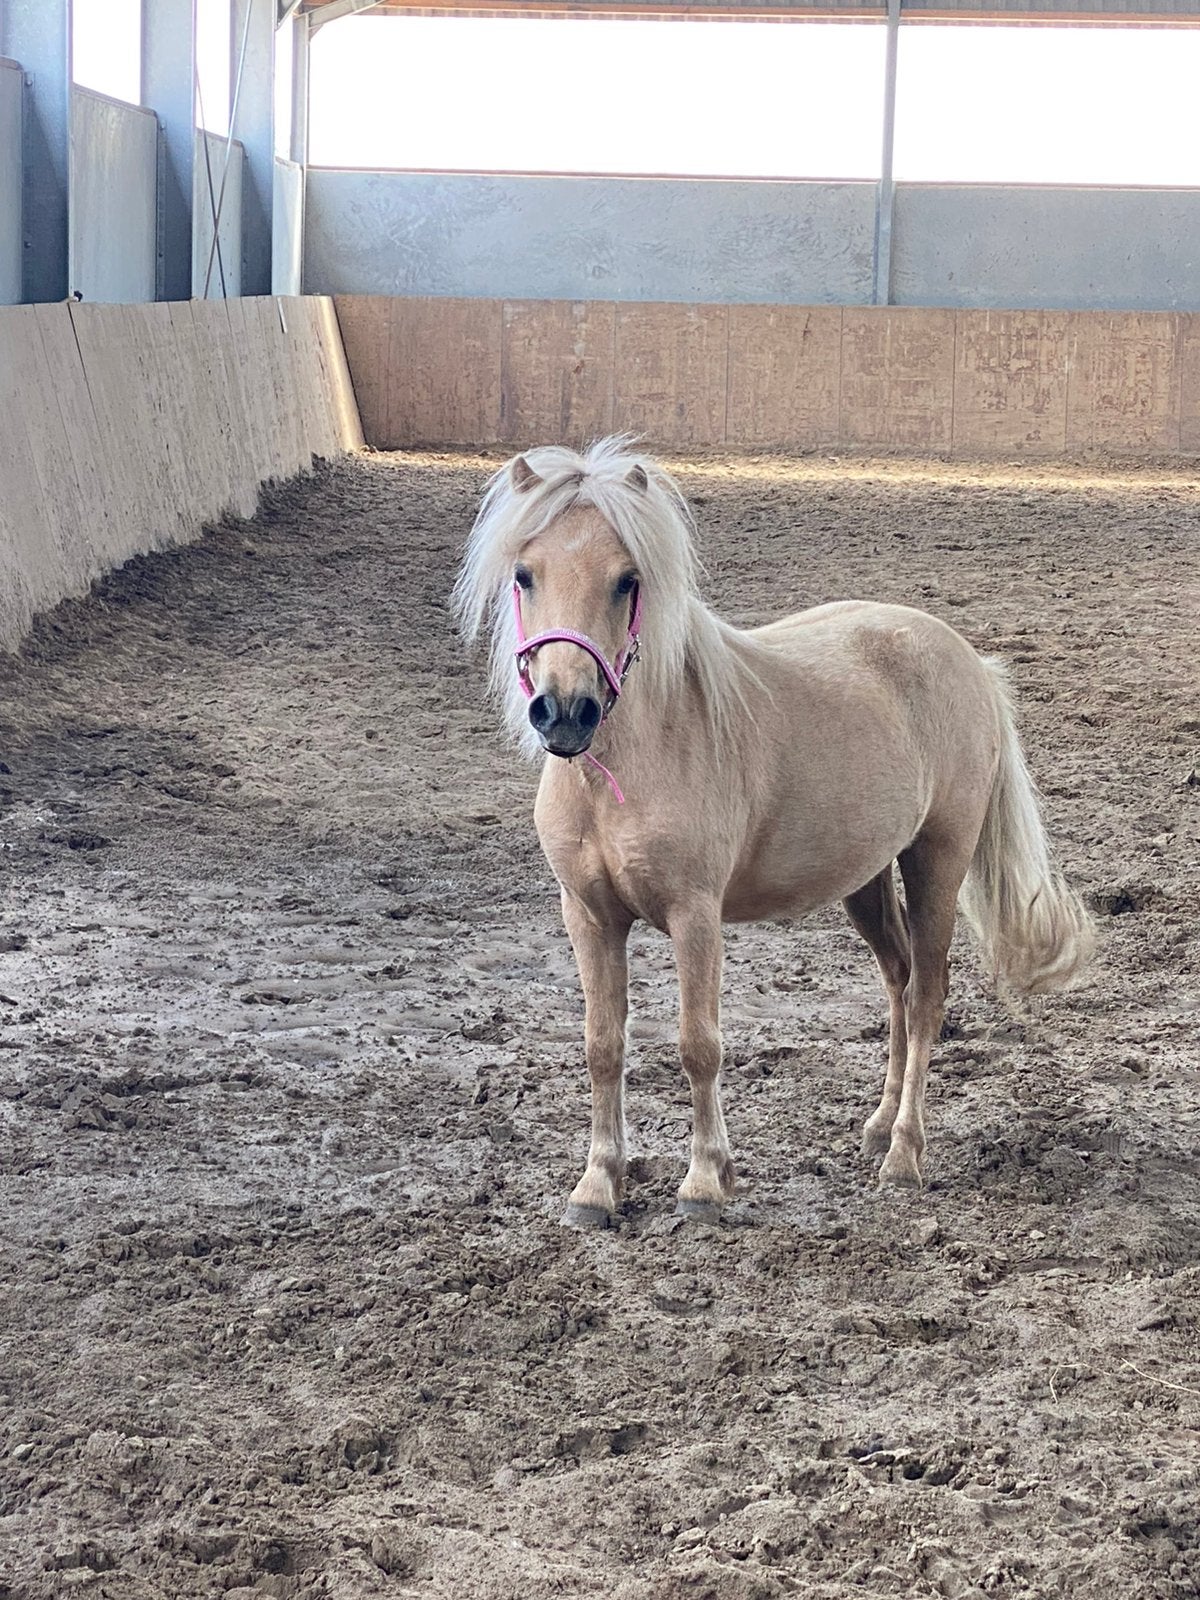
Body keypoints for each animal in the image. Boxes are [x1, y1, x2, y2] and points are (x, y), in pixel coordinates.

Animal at [454, 437, 1094, 1225]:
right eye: (525, 574)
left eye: (627, 580)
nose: (566, 711)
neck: (630, 767)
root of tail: (968, 660)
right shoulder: (589, 916)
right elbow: (603, 1046)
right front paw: (598, 1185)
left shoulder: (696, 916)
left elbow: (699, 1044)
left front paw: (705, 1180)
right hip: (866, 878)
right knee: (898, 979)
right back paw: (878, 1127)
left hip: (937, 860)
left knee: (926, 997)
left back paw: (904, 1155)